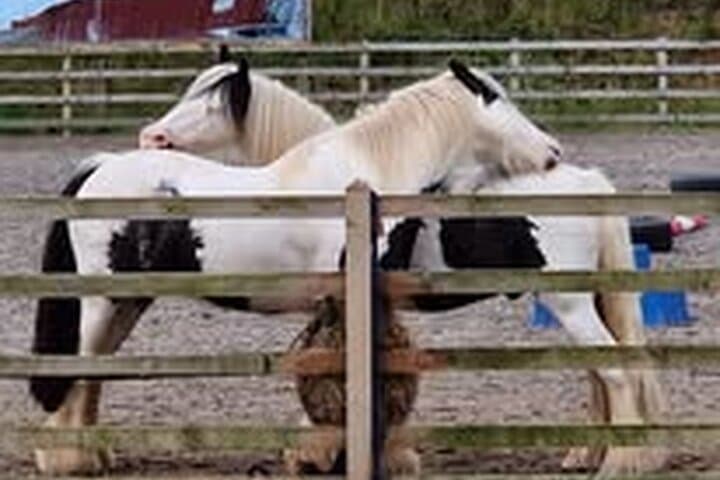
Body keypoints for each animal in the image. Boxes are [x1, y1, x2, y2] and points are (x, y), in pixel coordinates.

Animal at [30, 60, 559, 475]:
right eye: (497, 99)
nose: (553, 152)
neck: (361, 184)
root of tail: (100, 168)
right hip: (101, 302)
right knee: (76, 371)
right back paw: (66, 460)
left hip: (126, 303)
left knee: (92, 373)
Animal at [137, 58, 666, 476]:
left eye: (212, 106)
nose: (151, 136)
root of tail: (587, 181)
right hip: (579, 300)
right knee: (599, 375)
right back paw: (587, 454)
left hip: (569, 302)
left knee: (616, 372)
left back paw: (620, 462)